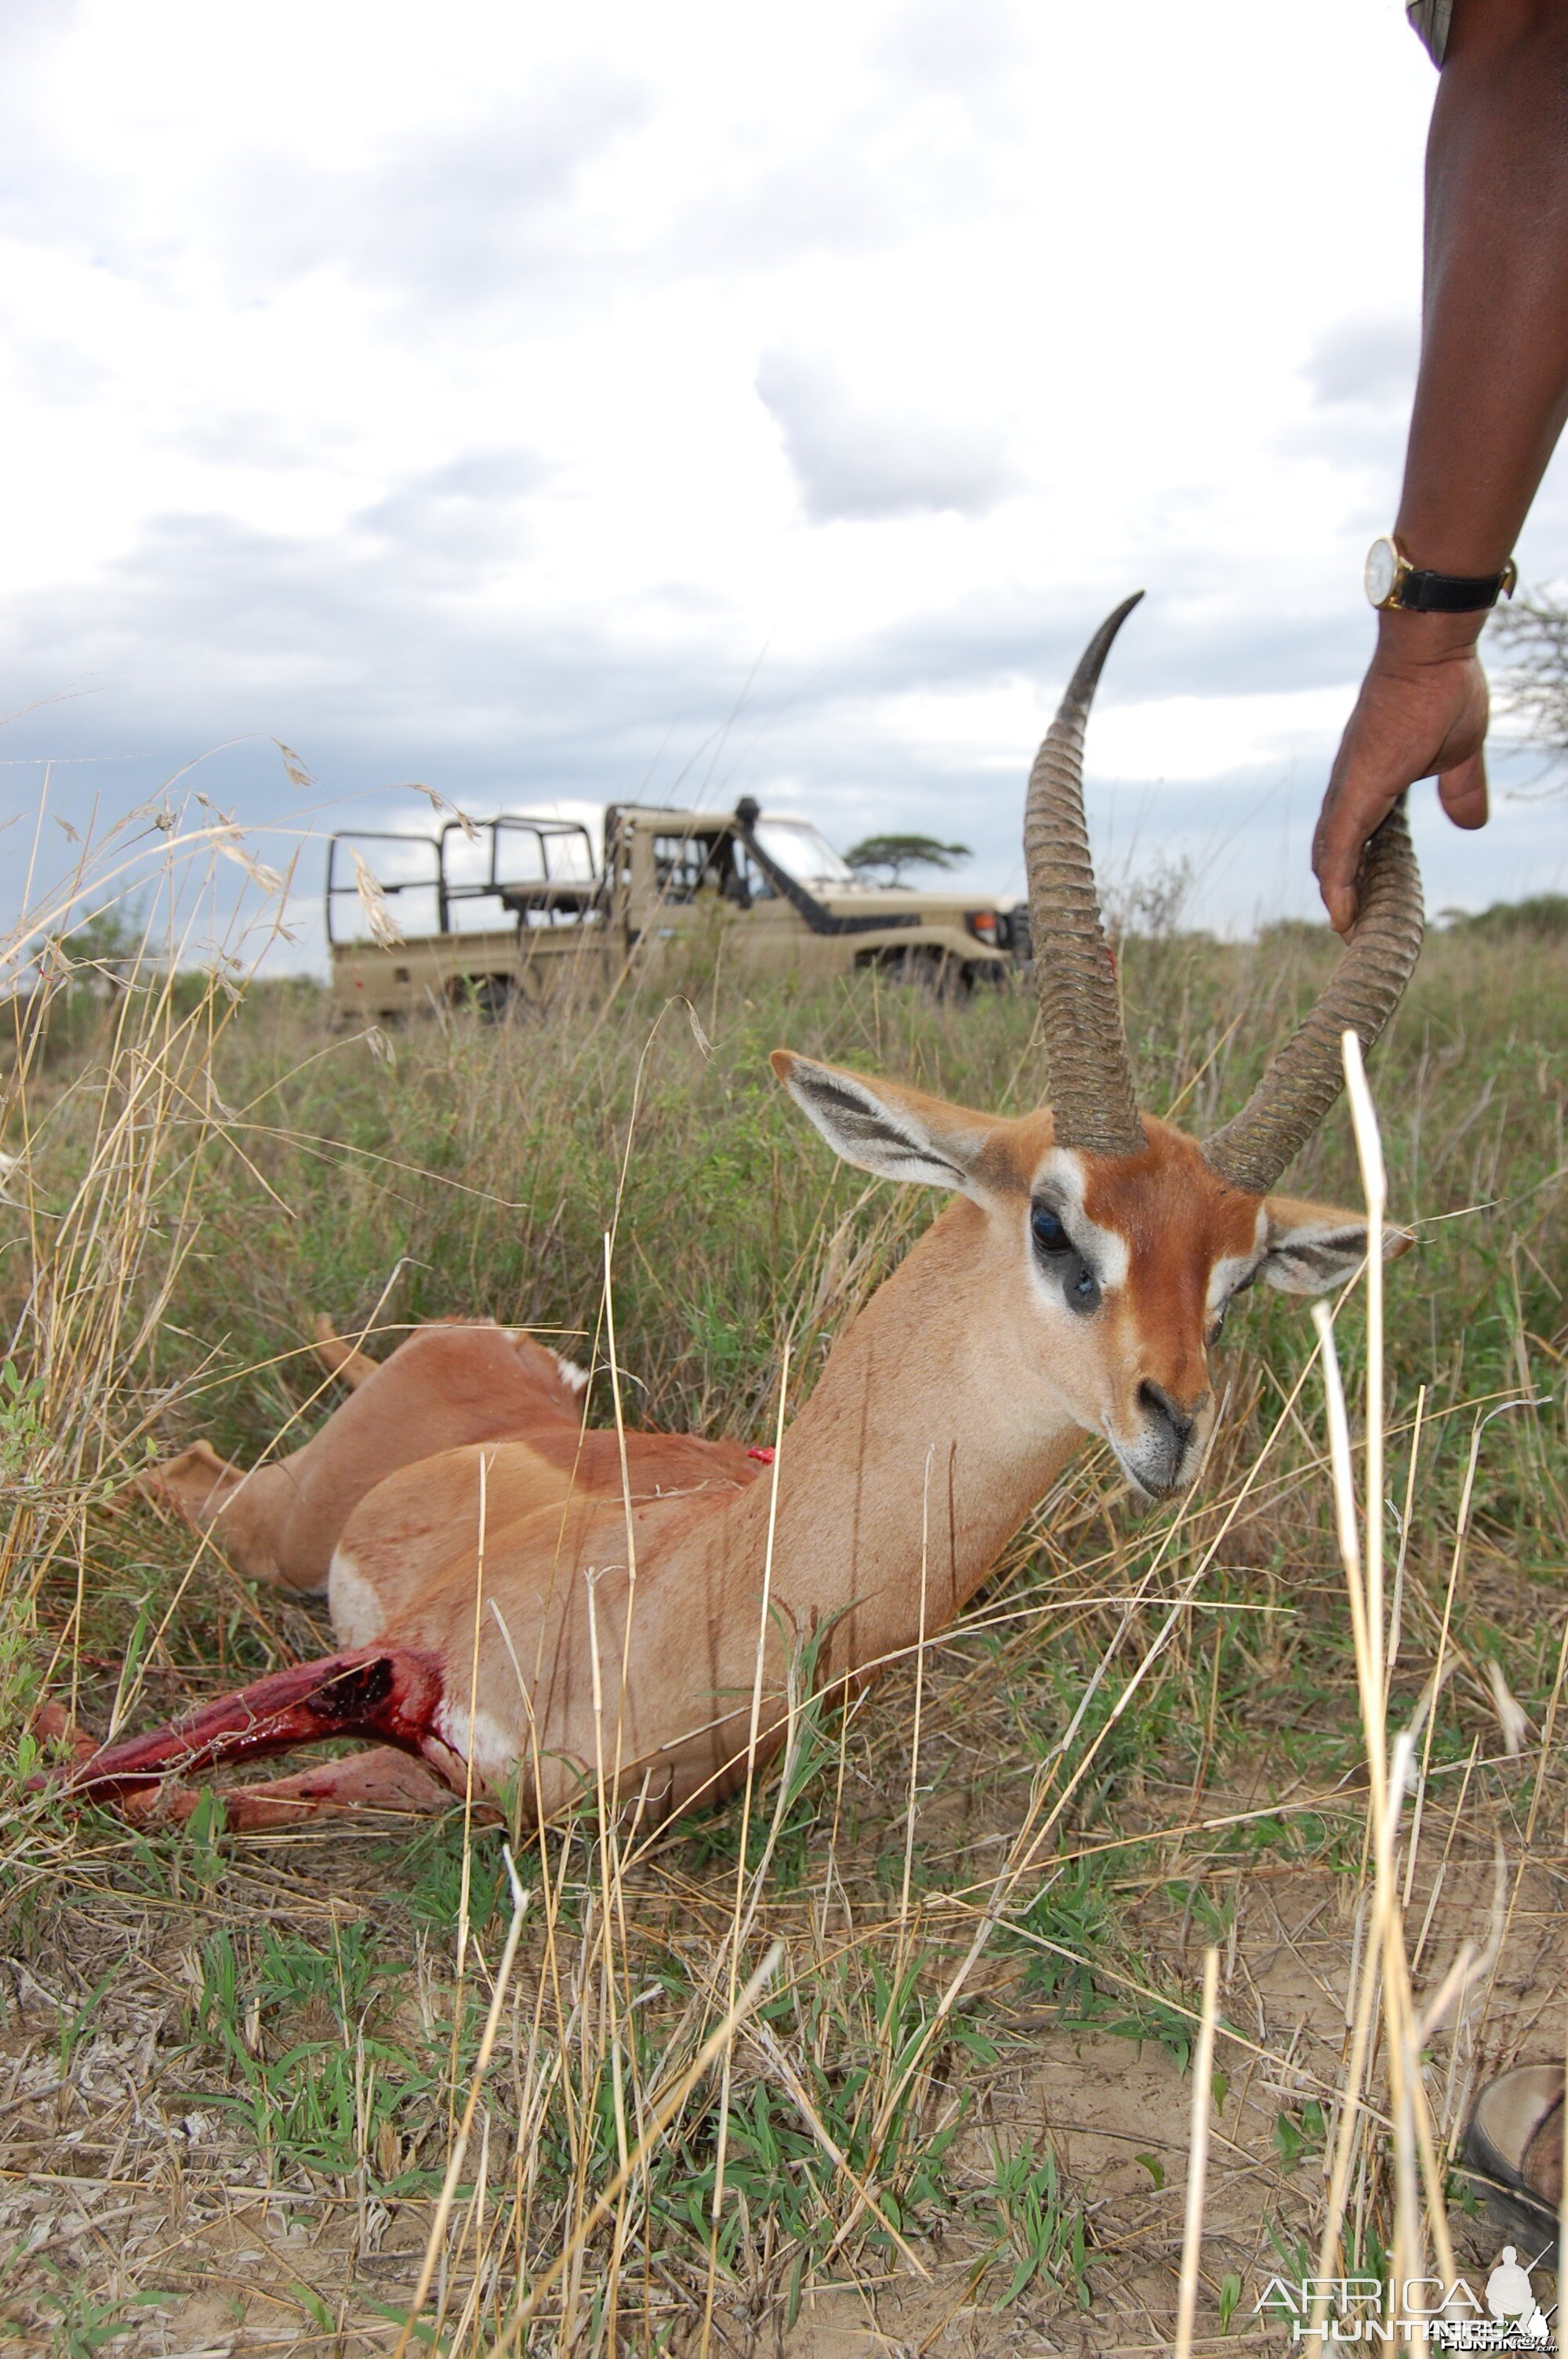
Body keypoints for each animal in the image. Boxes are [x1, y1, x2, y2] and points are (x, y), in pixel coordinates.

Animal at [36, 599, 1424, 1830]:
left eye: (1237, 1278)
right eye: (1054, 1223)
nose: (1175, 1426)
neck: (678, 1592)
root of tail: (471, 1351)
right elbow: (124, 1776)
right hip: (273, 1522)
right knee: (179, 1473)